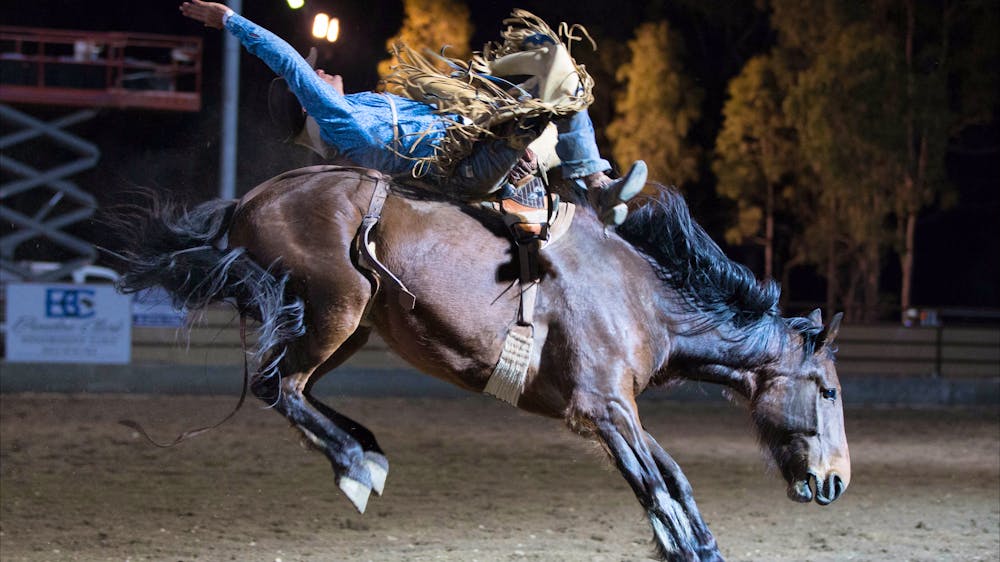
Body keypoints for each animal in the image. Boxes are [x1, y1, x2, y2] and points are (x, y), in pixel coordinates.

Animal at [117, 166, 852, 560]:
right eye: (828, 392)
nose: (836, 481)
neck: (640, 296)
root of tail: (250, 201)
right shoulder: (603, 410)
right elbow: (658, 486)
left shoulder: (619, 411)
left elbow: (674, 478)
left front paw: (703, 545)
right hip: (334, 308)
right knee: (278, 385)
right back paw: (357, 466)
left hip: (350, 327)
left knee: (294, 389)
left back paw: (365, 449)